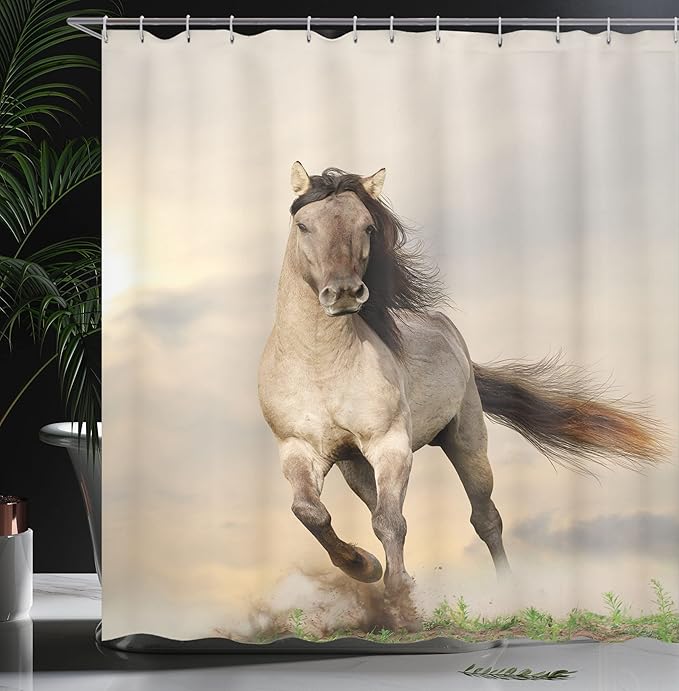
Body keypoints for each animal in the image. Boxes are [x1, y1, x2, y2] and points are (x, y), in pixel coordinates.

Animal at [257, 162, 666, 629]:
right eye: (304, 225)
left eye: (366, 227)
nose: (343, 293)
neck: (320, 365)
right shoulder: (299, 449)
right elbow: (311, 513)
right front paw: (364, 566)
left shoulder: (390, 446)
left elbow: (390, 522)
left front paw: (402, 603)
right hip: (355, 466)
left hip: (466, 441)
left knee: (485, 518)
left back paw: (507, 596)